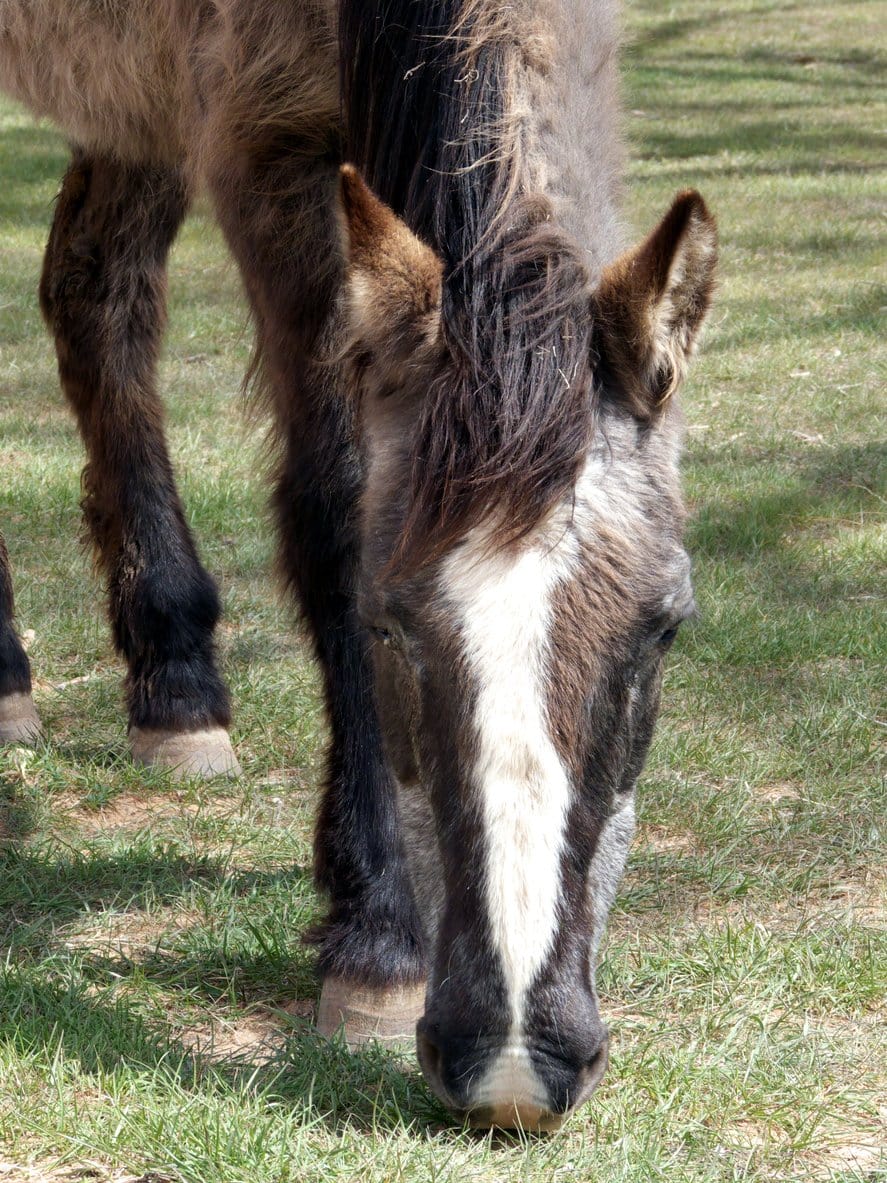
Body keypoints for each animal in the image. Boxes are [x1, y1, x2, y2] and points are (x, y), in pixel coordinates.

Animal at [0, 0, 719, 1126]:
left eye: (663, 629)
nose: (514, 1062)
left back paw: (175, 682)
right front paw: (377, 934)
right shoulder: (267, 146)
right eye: (387, 624)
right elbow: (332, 498)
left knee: (95, 291)